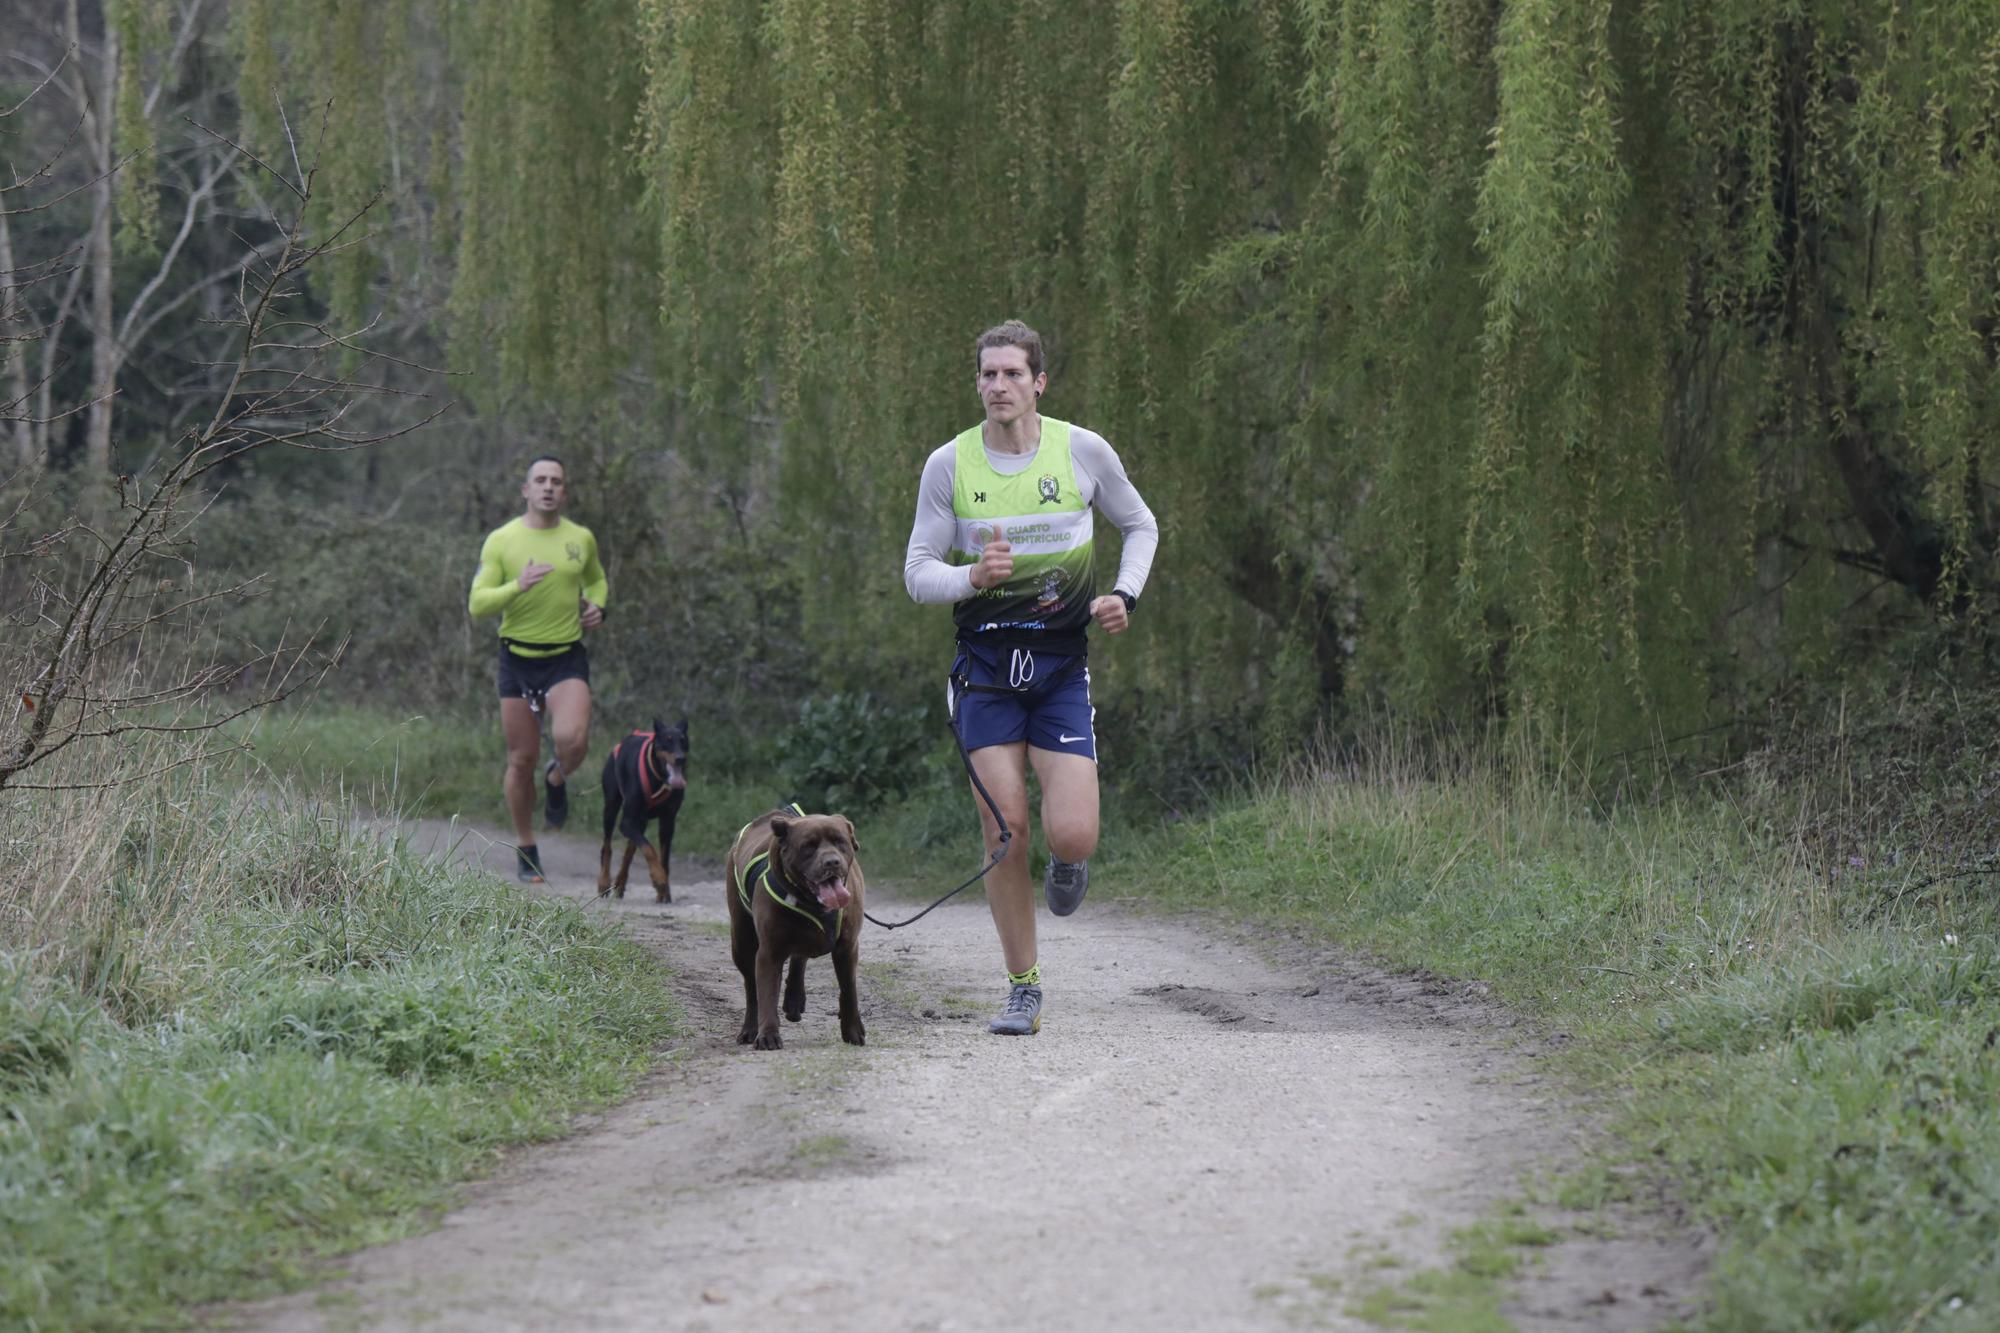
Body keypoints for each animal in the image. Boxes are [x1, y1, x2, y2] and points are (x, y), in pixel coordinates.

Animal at [728, 800, 868, 1048]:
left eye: (839, 842)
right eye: (808, 846)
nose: (832, 862)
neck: (813, 904)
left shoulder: (848, 946)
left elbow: (848, 990)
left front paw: (852, 1031)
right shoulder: (769, 951)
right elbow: (766, 993)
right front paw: (768, 1034)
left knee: (799, 958)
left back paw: (794, 1000)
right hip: (741, 939)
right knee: (751, 988)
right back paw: (750, 1028)